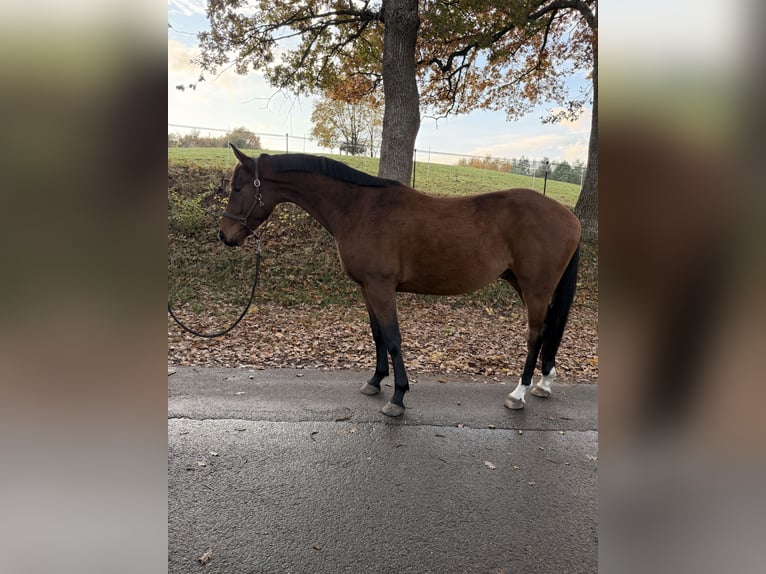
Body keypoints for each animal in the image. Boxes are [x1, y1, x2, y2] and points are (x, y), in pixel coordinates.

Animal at [219, 145, 581, 417]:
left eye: (237, 188)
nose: (225, 235)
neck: (359, 208)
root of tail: (569, 216)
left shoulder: (381, 287)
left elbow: (393, 338)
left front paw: (398, 398)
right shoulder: (367, 288)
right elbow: (377, 335)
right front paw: (375, 381)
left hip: (535, 289)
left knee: (535, 336)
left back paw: (518, 393)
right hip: (524, 285)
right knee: (548, 330)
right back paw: (544, 383)